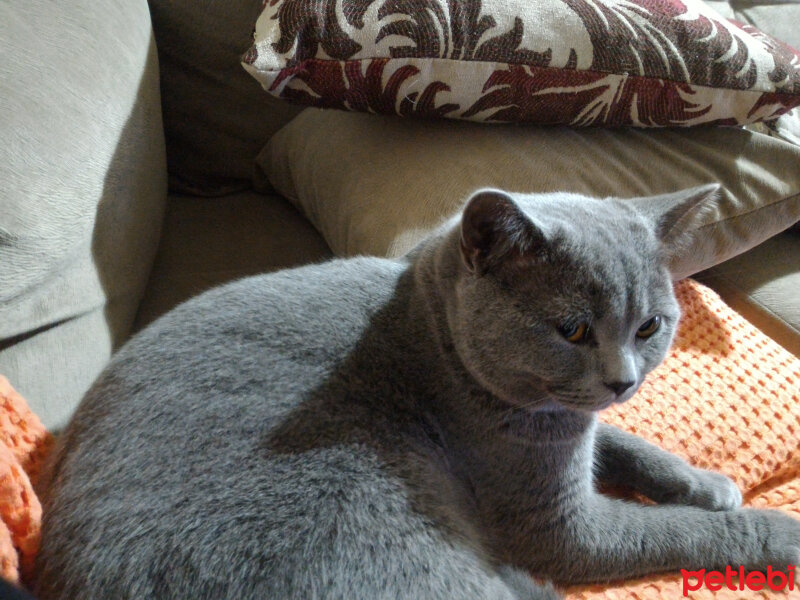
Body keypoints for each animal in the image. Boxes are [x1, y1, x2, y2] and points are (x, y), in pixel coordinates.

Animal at [34, 188, 796, 600]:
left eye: (649, 326)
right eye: (573, 328)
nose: (624, 379)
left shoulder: (571, 426)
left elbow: (625, 441)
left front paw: (705, 482)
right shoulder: (560, 526)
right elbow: (679, 532)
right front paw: (774, 530)